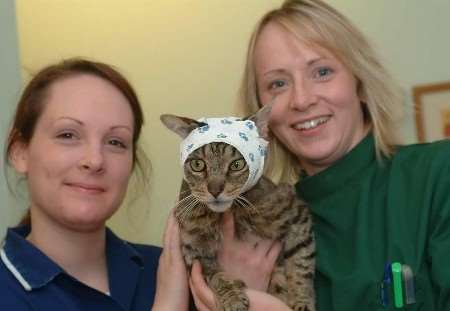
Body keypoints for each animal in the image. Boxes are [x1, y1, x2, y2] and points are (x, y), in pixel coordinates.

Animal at [162, 106, 316, 310]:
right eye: (197, 164)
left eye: (236, 165)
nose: (215, 190)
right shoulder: (193, 252)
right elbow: (217, 277)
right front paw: (232, 298)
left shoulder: (297, 213)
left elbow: (301, 265)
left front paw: (301, 300)